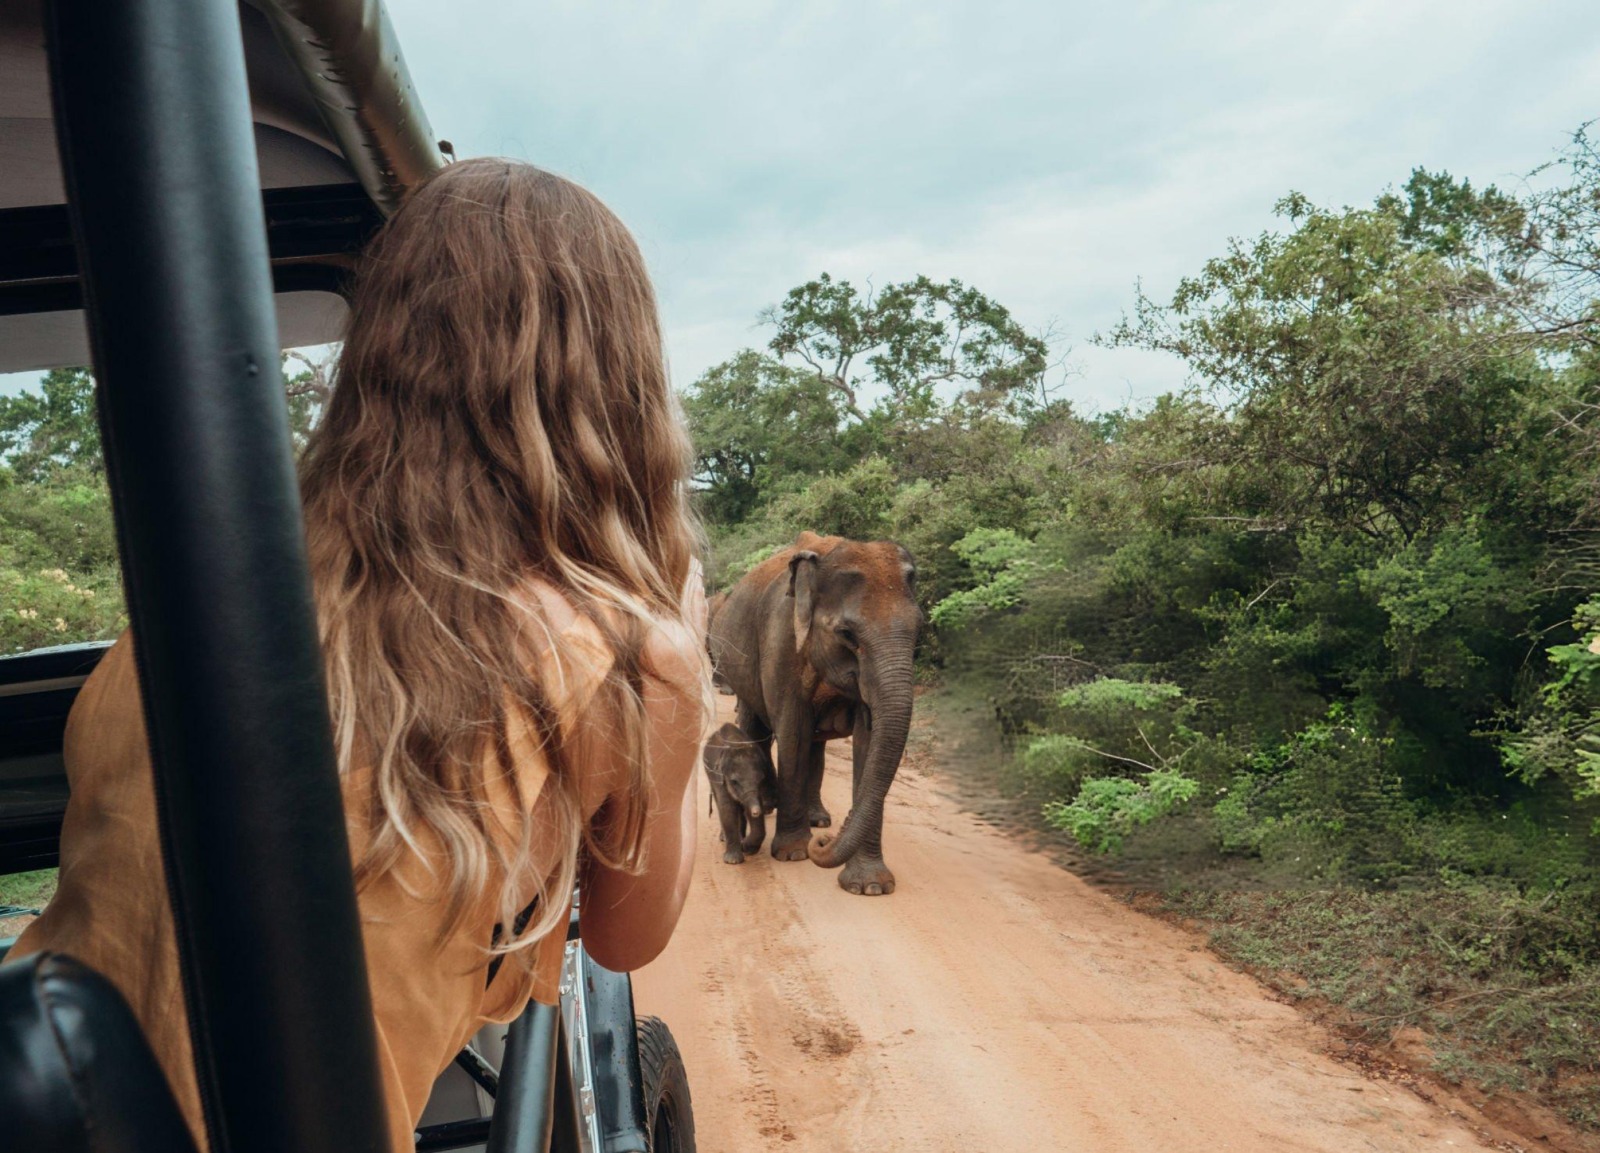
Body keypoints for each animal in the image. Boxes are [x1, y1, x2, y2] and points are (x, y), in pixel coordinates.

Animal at [702, 722, 779, 864]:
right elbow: (727, 808)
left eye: (761, 779)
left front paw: (746, 848)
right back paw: (725, 838)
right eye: (734, 782)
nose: (756, 811)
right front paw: (733, 861)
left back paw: (741, 838)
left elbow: (745, 807)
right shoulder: (719, 778)